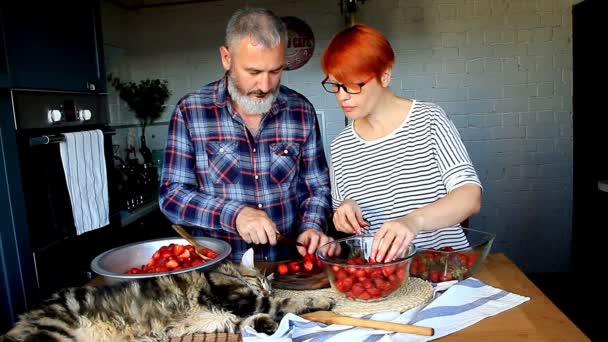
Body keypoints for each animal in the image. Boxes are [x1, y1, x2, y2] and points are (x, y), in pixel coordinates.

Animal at [0, 248, 334, 342]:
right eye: (261, 281)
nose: (265, 285)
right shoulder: (240, 298)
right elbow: (285, 302)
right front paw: (322, 300)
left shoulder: (225, 317)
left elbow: (252, 321)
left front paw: (266, 326)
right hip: (52, 333)